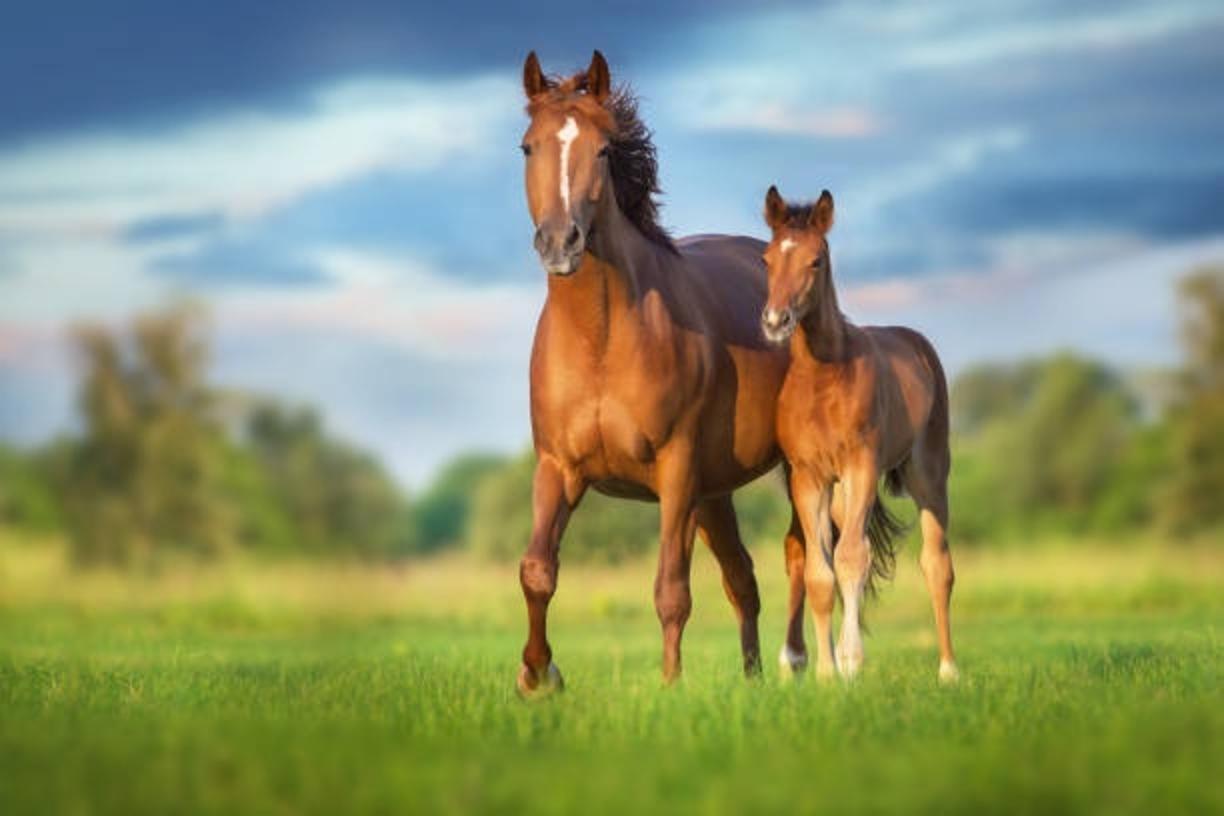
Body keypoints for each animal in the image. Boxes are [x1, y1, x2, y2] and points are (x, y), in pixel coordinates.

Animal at [516, 50, 812, 694]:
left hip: (787, 471)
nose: (560, 243)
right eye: (528, 147)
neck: (600, 340)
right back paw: (752, 679)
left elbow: (670, 590)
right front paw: (538, 676)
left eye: (604, 149)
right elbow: (538, 570)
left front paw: (670, 685)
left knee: (803, 554)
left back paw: (797, 662)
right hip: (715, 493)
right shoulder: (558, 468)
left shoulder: (675, 472)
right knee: (743, 580)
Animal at [759, 185, 959, 683]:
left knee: (936, 564)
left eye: (815, 260)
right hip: (844, 493)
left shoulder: (861, 466)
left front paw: (850, 662)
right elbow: (821, 572)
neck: (822, 377)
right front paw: (827, 674)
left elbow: (850, 558)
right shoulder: (809, 478)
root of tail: (917, 343)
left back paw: (949, 670)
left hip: (927, 475)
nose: (775, 321)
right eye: (767, 259)